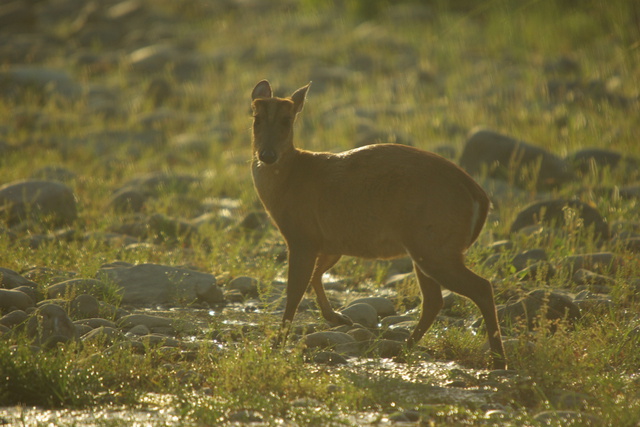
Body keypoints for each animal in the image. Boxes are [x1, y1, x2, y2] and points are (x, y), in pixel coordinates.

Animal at [249, 80, 504, 372]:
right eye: (256, 118)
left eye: (286, 120)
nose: (267, 155)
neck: (290, 179)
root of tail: (480, 196)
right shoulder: (330, 241)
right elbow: (315, 277)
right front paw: (338, 318)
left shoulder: (301, 236)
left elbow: (294, 291)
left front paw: (275, 345)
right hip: (427, 248)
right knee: (435, 300)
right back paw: (404, 349)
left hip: (435, 246)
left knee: (480, 288)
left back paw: (499, 359)